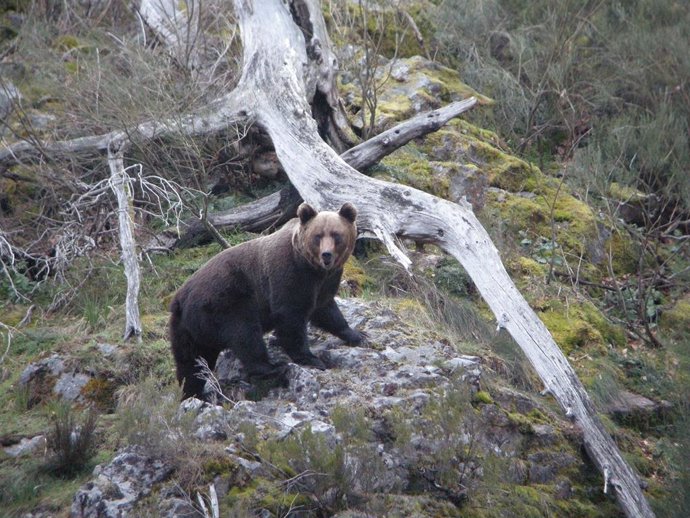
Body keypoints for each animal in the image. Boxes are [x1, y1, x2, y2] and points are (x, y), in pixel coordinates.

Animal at [168, 203, 360, 402]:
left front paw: (356, 335)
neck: (313, 269)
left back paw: (195, 394)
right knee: (245, 335)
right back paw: (273, 368)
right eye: (318, 236)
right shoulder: (289, 275)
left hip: (186, 329)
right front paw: (311, 358)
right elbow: (291, 318)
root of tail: (180, 298)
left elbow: (327, 310)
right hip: (225, 302)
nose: (326, 255)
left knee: (191, 363)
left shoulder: (324, 283)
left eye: (336, 235)